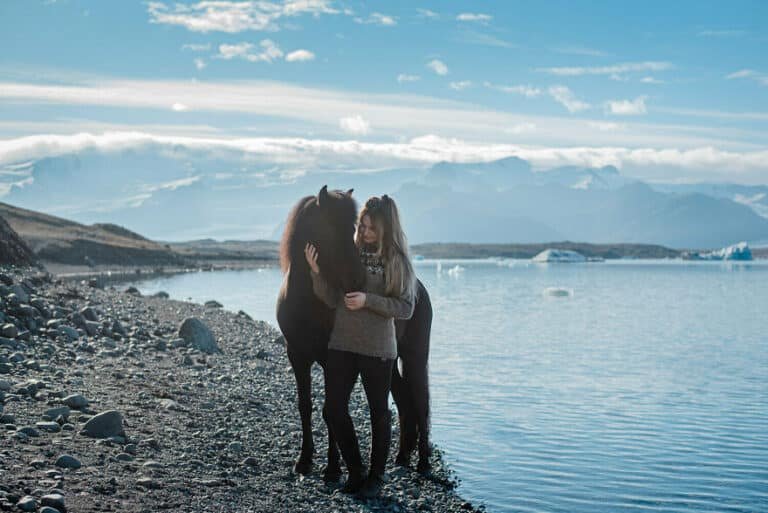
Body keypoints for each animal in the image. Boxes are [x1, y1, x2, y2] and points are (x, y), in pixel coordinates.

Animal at [274, 186, 432, 478]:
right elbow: (305, 406)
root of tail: (417, 288)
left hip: (415, 357)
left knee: (421, 401)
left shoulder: (331, 359)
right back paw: (402, 455)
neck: (307, 300)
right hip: (391, 362)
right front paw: (304, 460)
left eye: (354, 228)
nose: (359, 279)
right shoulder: (297, 356)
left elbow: (329, 410)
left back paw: (424, 462)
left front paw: (333, 468)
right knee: (404, 400)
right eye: (332, 227)